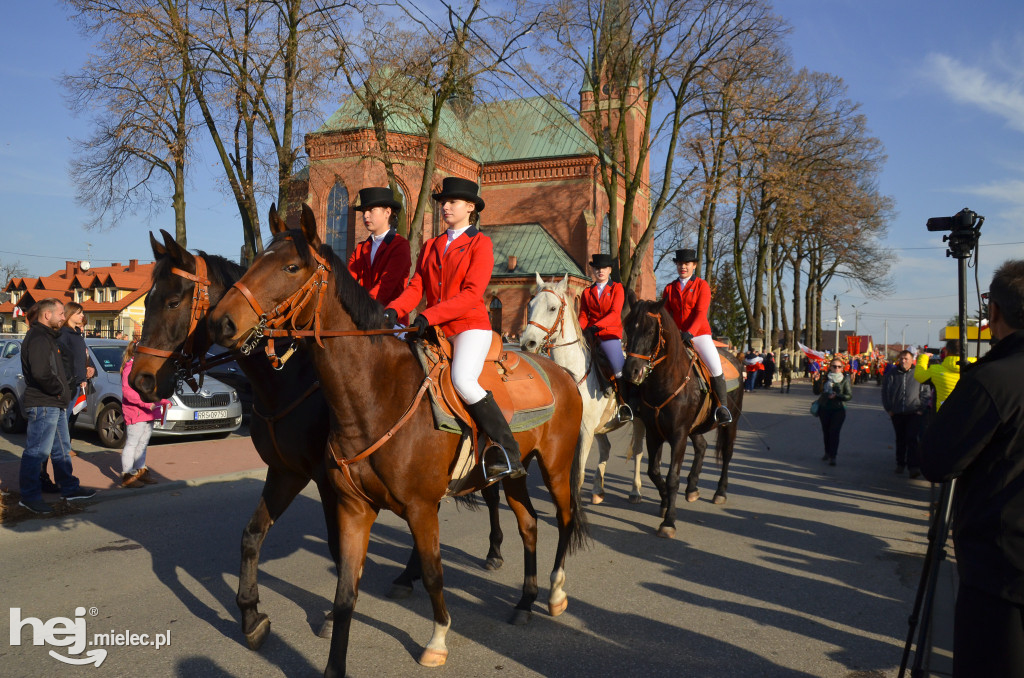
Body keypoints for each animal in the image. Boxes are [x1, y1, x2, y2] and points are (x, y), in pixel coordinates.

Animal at [207, 208, 589, 678]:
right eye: (257, 259)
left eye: (290, 267)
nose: (221, 321)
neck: (375, 394)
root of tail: (559, 372)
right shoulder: (353, 508)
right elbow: (345, 594)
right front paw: (333, 662)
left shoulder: (421, 508)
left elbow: (433, 572)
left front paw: (438, 639)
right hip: (515, 474)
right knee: (530, 524)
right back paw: (525, 602)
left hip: (556, 467)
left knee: (565, 519)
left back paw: (555, 593)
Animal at [520, 274, 638, 503]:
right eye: (529, 305)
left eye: (552, 308)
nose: (527, 343)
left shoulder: (585, 431)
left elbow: (579, 475)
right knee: (606, 448)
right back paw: (598, 491)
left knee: (638, 452)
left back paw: (635, 491)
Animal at [618, 297, 741, 540]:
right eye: (627, 328)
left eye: (650, 330)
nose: (630, 372)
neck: (665, 381)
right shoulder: (654, 434)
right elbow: (654, 472)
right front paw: (665, 502)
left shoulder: (678, 435)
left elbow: (672, 477)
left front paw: (669, 521)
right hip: (695, 428)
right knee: (702, 446)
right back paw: (692, 487)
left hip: (729, 424)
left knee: (727, 454)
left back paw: (720, 491)